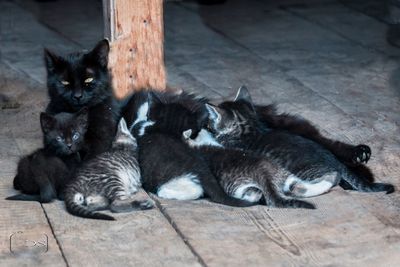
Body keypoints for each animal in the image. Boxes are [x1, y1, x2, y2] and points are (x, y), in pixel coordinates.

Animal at [181, 129, 316, 210]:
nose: (208, 129)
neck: (195, 147)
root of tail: (263, 172)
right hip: (239, 185)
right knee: (257, 193)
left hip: (279, 171)